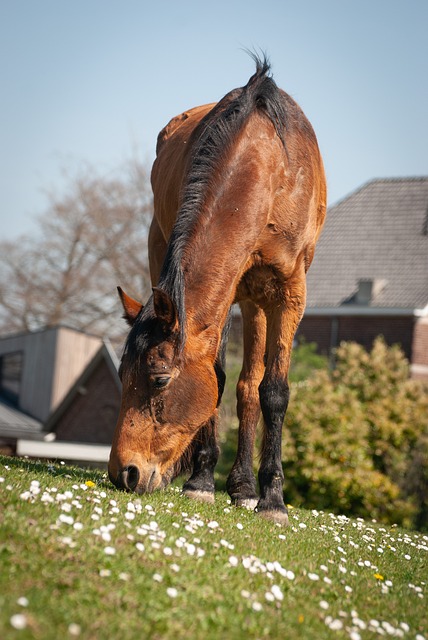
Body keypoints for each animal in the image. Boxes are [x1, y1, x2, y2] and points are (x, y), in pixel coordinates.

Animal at [108, 56, 326, 524]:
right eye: (121, 375)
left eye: (158, 379)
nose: (124, 473)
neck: (266, 166)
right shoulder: (221, 295)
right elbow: (218, 378)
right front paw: (201, 482)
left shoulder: (289, 294)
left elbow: (273, 391)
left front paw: (273, 500)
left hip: (258, 299)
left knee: (251, 387)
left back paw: (245, 488)